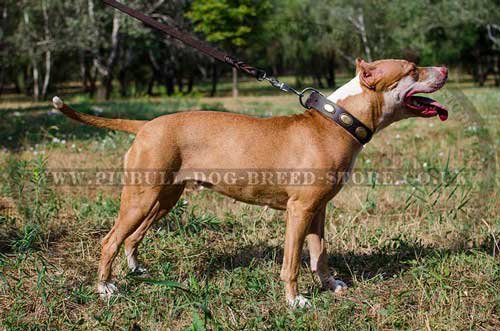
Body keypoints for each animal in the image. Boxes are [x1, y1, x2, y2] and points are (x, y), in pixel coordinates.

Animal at [51, 59, 450, 308]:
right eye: (412, 69)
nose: (445, 69)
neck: (337, 121)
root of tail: (145, 126)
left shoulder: (319, 209)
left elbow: (319, 255)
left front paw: (330, 285)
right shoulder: (299, 211)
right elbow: (292, 262)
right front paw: (295, 301)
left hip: (163, 198)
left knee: (133, 237)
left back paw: (136, 269)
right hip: (141, 197)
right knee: (110, 240)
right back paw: (106, 288)